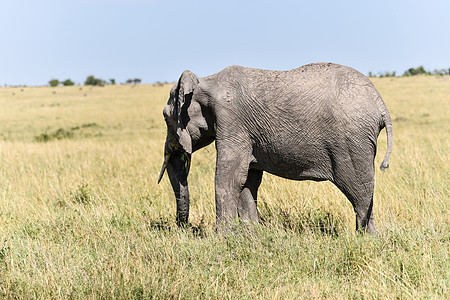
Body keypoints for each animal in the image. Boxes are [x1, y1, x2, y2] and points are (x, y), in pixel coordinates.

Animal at [158, 62, 394, 233]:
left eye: (165, 117)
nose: (184, 227)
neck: (205, 82)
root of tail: (380, 103)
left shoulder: (232, 122)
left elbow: (228, 179)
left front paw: (223, 238)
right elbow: (248, 180)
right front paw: (252, 235)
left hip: (352, 142)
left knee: (359, 192)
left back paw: (366, 239)